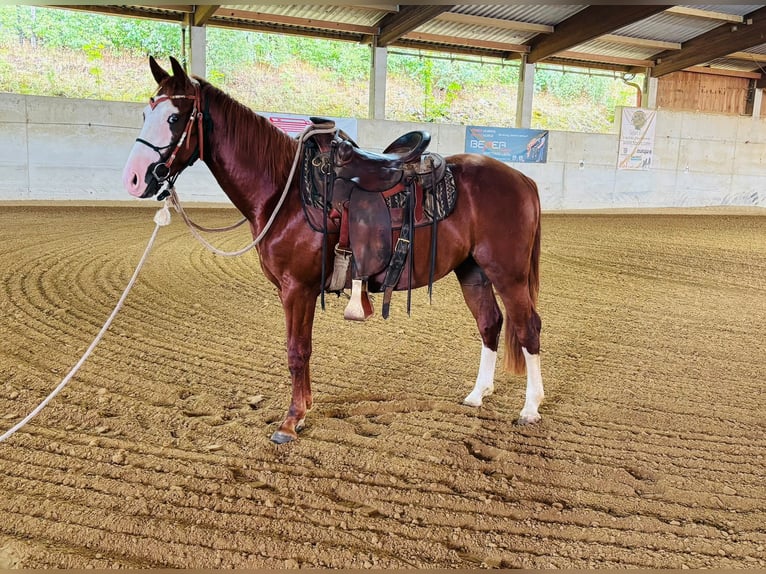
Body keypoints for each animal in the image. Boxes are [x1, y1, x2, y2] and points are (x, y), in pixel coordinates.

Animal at [122, 56, 544, 444]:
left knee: (528, 328)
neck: (285, 191)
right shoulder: (293, 290)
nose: (135, 178)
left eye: (174, 117)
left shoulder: (298, 288)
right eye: (145, 112)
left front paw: (291, 420)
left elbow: (297, 350)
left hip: (508, 274)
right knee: (490, 323)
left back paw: (530, 408)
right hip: (473, 271)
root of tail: (522, 179)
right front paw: (304, 409)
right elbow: (300, 351)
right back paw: (477, 395)